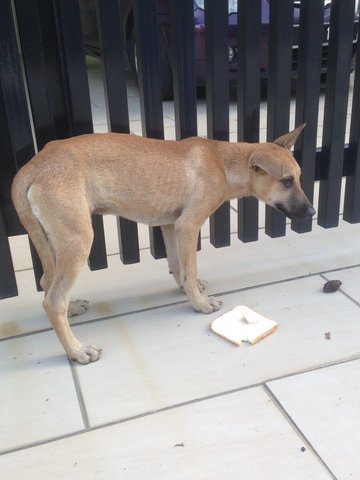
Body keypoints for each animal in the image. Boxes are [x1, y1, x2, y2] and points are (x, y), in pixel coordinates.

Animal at [11, 124, 316, 364]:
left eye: (299, 178)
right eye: (287, 181)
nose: (312, 213)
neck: (224, 161)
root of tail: (32, 166)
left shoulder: (171, 225)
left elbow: (178, 265)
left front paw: (187, 288)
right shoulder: (188, 226)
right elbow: (189, 268)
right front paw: (199, 304)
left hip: (55, 240)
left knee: (47, 282)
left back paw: (72, 308)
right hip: (77, 239)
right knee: (53, 301)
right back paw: (76, 351)